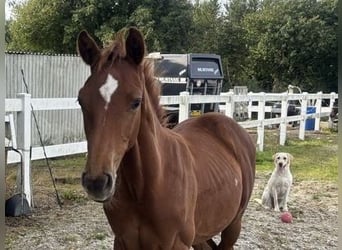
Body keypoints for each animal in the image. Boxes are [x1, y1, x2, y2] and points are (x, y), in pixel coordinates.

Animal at [77, 26, 254, 249]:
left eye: (136, 102)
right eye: (81, 100)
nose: (96, 182)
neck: (149, 185)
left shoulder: (177, 243)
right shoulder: (122, 241)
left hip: (233, 225)